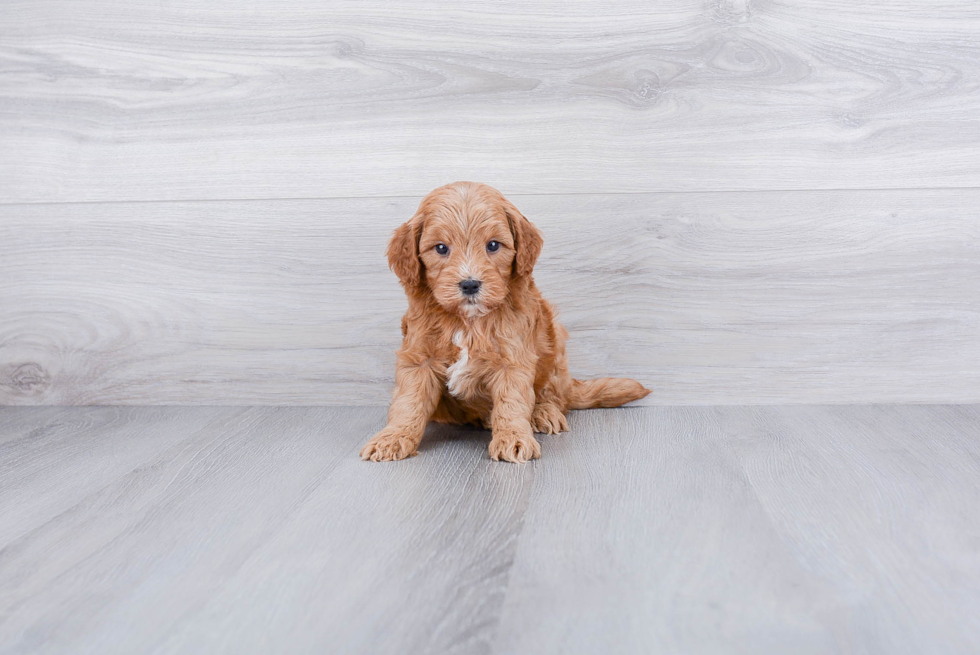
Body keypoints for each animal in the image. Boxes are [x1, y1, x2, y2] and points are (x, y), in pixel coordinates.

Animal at [360, 182, 652, 464]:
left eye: (493, 245)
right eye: (441, 248)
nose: (470, 284)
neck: (468, 321)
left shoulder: (513, 358)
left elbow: (512, 401)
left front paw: (513, 439)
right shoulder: (418, 357)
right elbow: (409, 402)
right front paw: (392, 438)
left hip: (555, 348)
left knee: (554, 396)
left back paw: (544, 413)